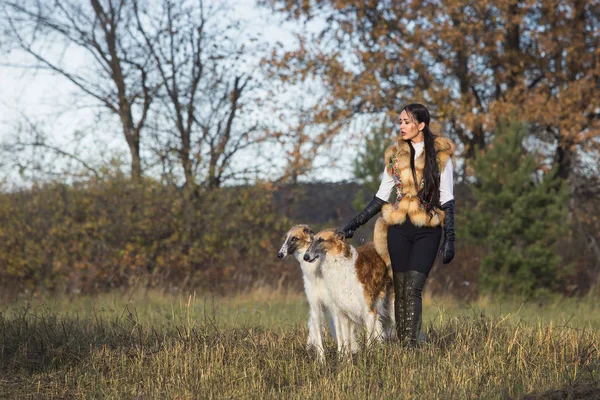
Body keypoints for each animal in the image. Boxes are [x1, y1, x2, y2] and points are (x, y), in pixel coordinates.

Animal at [276, 225, 342, 362]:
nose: (279, 254)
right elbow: (319, 340)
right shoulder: (315, 306)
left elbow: (340, 337)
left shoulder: (334, 307)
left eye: (294, 238)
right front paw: (321, 361)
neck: (316, 271)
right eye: (285, 237)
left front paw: (341, 358)